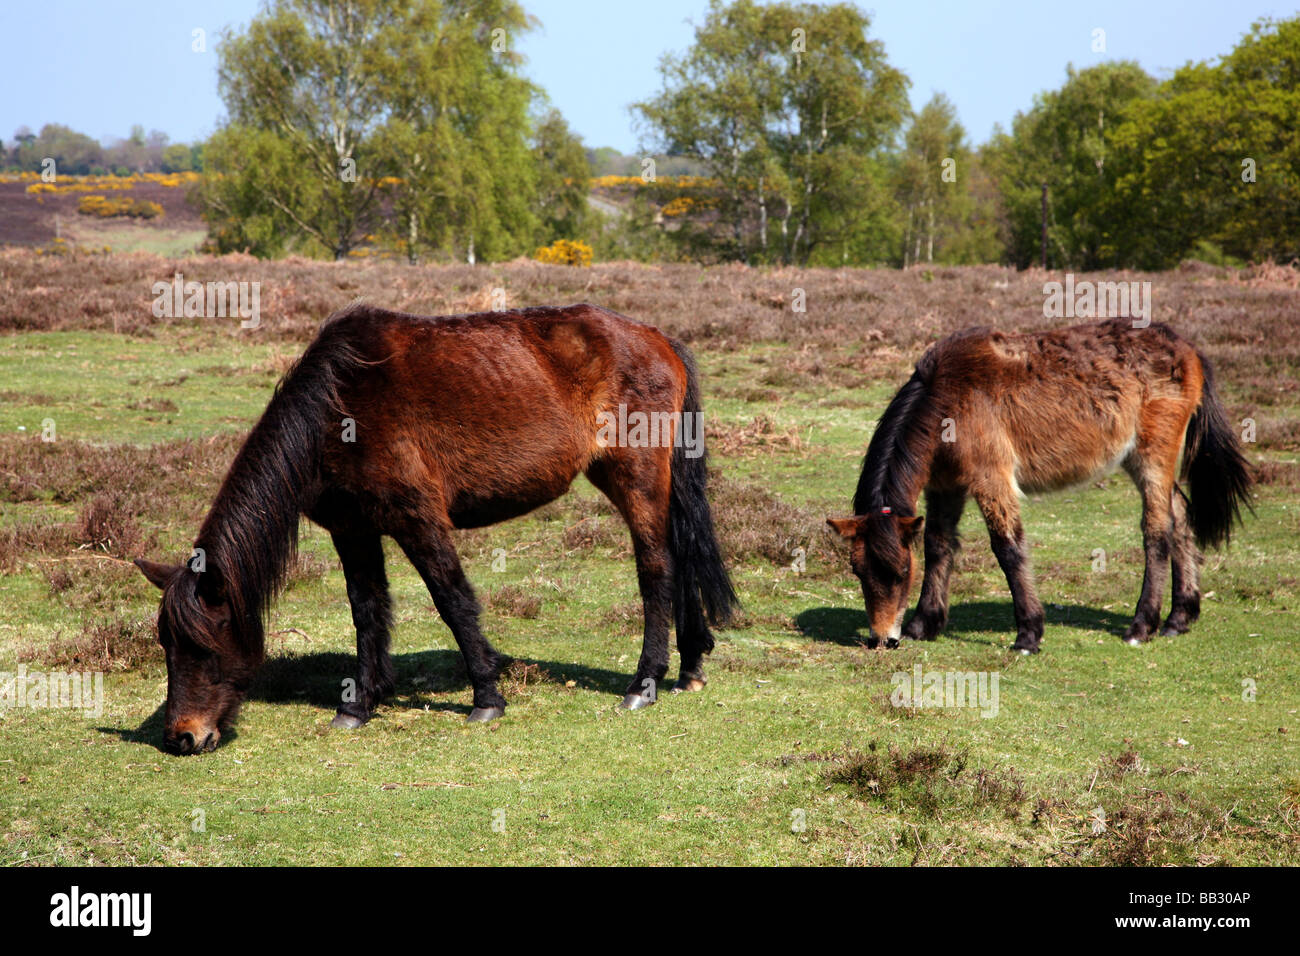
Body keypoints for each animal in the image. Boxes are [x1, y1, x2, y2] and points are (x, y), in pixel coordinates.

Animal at [135, 303, 737, 754]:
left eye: (203, 645)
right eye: (165, 643)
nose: (182, 737)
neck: (337, 406)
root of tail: (658, 339)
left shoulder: (417, 518)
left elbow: (452, 600)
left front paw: (487, 697)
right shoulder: (353, 529)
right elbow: (367, 609)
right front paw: (359, 704)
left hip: (635, 478)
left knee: (656, 568)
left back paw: (644, 683)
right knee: (679, 557)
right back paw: (690, 665)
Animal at [827, 318, 1252, 653]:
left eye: (901, 571)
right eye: (857, 571)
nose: (883, 638)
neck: (948, 400)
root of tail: (1186, 347)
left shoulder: (991, 479)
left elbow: (1008, 549)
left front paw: (1029, 634)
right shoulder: (945, 488)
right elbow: (938, 545)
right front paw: (924, 624)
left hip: (1154, 456)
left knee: (1158, 531)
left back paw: (1142, 624)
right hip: (1140, 460)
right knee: (1179, 516)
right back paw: (1180, 616)